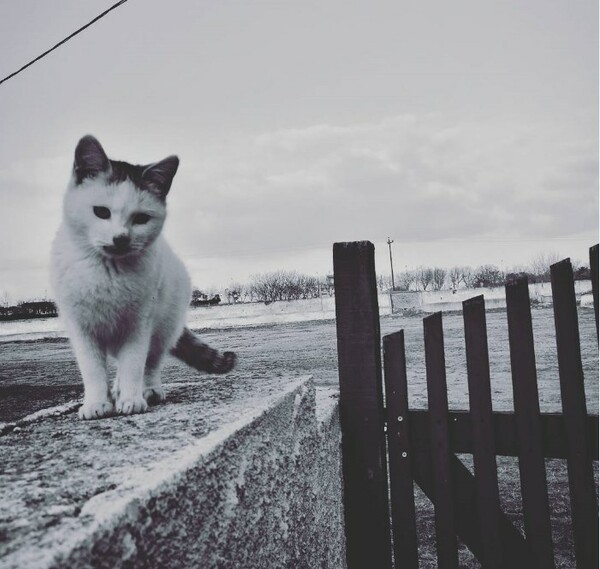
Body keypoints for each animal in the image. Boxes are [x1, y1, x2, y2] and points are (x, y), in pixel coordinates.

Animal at [51, 133, 236, 418]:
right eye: (101, 212)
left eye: (140, 218)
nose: (121, 238)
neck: (109, 271)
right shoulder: (81, 328)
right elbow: (92, 370)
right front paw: (96, 403)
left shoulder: (138, 325)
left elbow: (134, 364)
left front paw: (131, 398)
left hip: (164, 326)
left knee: (151, 361)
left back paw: (147, 390)